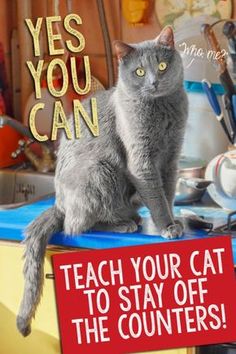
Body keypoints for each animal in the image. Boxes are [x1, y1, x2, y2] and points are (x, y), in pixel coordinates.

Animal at [16, 26, 188, 336]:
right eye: (139, 71)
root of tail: (57, 204)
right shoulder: (142, 163)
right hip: (99, 171)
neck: (163, 110)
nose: (154, 82)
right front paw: (166, 227)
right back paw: (123, 224)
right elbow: (156, 199)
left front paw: (172, 222)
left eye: (162, 66)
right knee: (76, 225)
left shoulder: (171, 160)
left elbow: (167, 195)